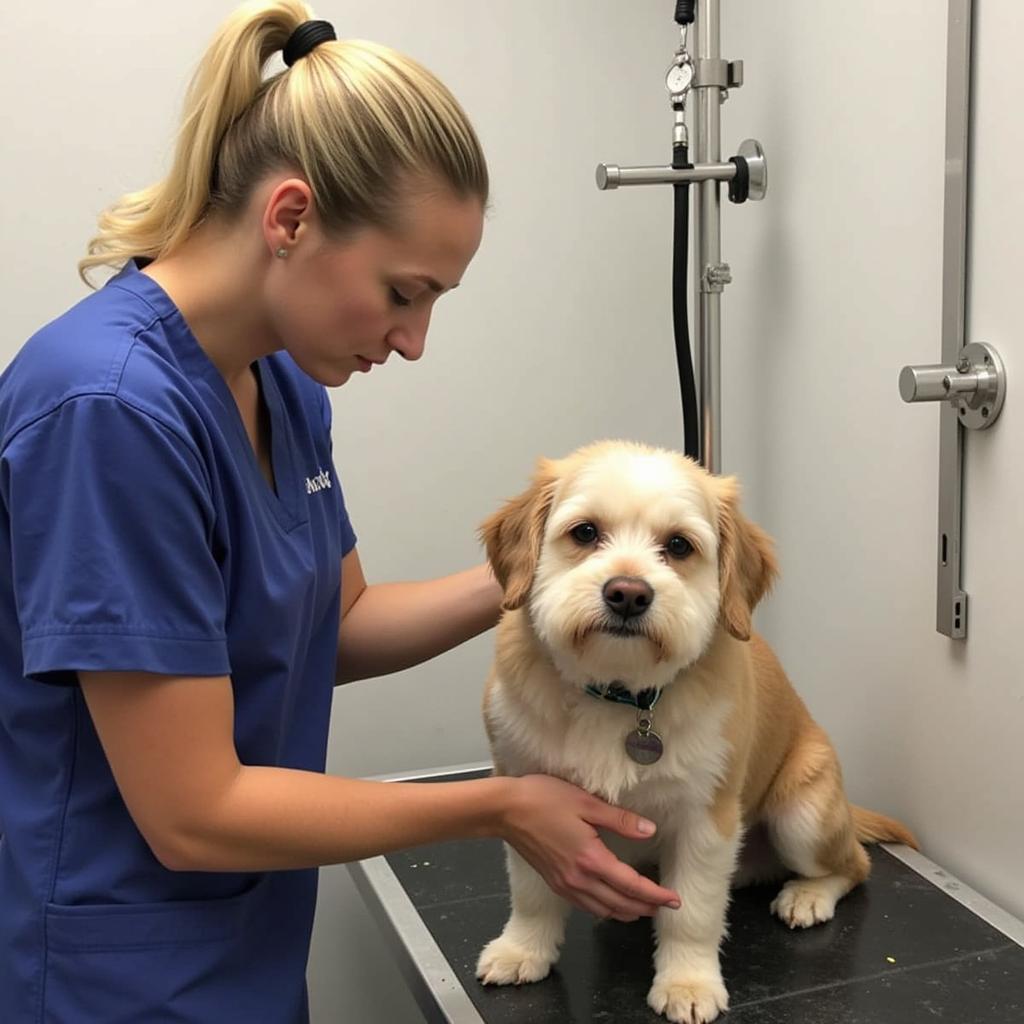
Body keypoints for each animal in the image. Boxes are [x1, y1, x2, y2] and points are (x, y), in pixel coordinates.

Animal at [475, 440, 917, 1024]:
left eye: (679, 545)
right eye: (585, 532)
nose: (628, 594)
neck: (619, 694)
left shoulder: (706, 819)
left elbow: (693, 913)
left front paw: (687, 982)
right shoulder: (532, 805)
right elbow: (532, 891)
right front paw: (522, 949)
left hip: (803, 819)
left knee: (855, 865)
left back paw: (808, 896)